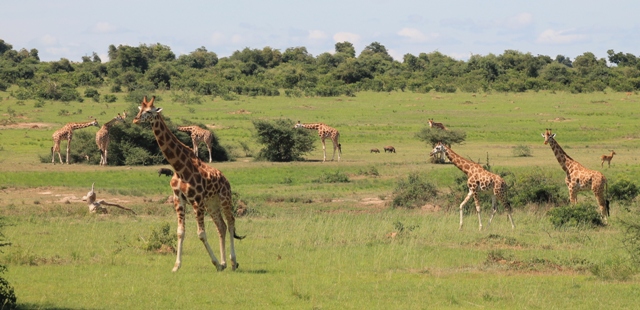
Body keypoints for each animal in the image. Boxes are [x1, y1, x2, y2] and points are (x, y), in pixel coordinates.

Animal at [132, 96, 242, 272]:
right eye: (139, 109)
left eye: (149, 111)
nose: (135, 119)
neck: (179, 168)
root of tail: (226, 179)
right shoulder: (179, 199)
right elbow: (180, 232)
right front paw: (176, 266)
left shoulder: (197, 201)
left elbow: (201, 234)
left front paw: (216, 263)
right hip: (211, 203)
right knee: (221, 226)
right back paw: (225, 262)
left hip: (225, 198)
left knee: (231, 222)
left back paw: (232, 262)